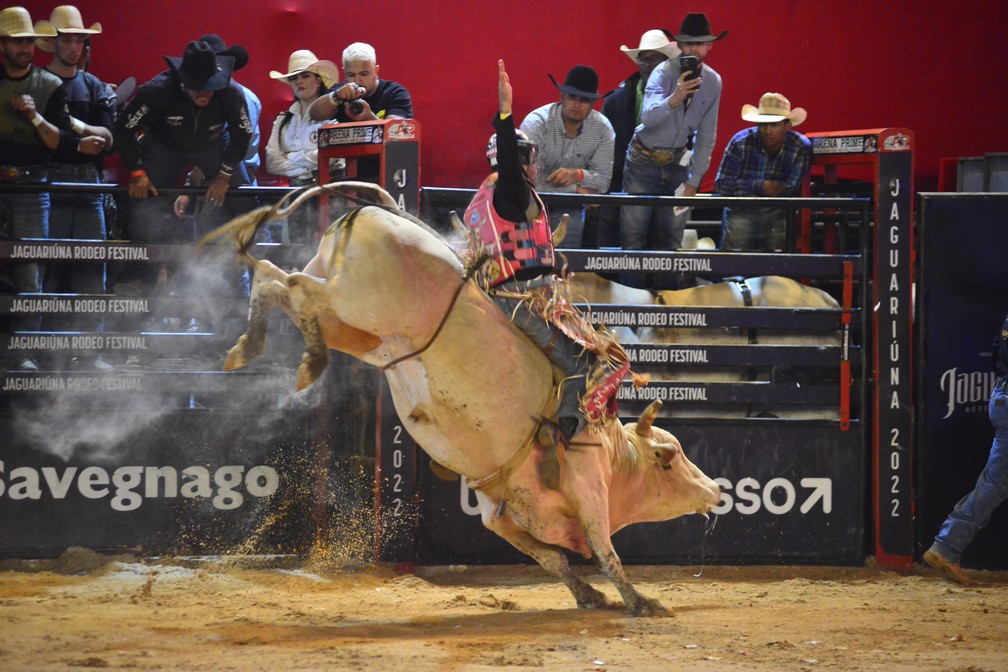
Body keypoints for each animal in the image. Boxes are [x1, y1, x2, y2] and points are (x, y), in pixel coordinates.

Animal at [208, 182, 721, 616]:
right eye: (670, 457)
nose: (716, 491)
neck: (615, 453)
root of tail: (377, 211)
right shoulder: (589, 489)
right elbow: (605, 551)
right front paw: (640, 601)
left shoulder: (498, 512)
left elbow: (551, 558)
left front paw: (587, 594)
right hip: (351, 302)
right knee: (291, 285)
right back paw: (300, 357)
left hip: (351, 325)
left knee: (277, 282)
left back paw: (258, 349)